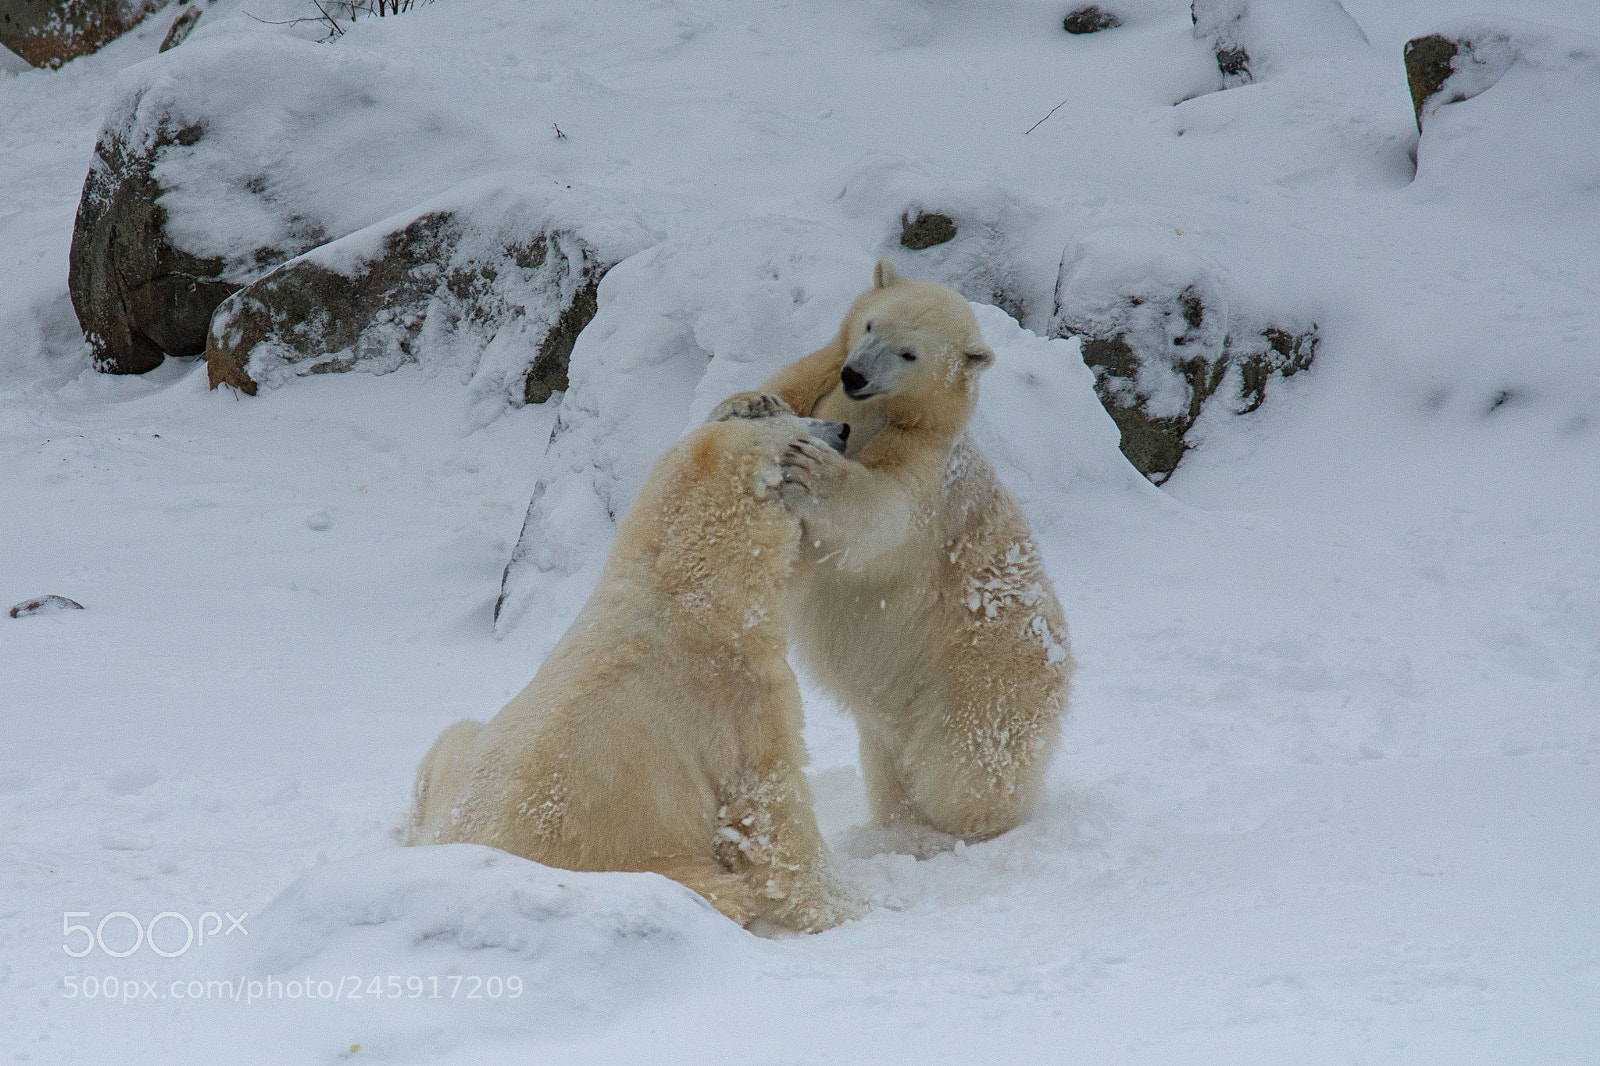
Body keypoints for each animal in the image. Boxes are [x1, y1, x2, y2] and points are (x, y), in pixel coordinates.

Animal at [408, 412, 856, 933]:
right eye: (797, 430)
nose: (842, 429)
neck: (690, 590)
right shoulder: (737, 696)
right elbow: (772, 808)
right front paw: (852, 908)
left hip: (456, 761)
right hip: (648, 859)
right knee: (725, 891)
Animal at [711, 260, 1073, 845]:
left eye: (910, 354)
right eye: (870, 326)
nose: (855, 376)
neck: (885, 413)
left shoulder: (929, 472)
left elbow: (882, 514)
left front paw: (815, 468)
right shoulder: (817, 377)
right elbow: (773, 395)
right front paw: (747, 401)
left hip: (982, 678)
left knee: (964, 768)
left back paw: (954, 831)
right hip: (900, 716)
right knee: (888, 764)